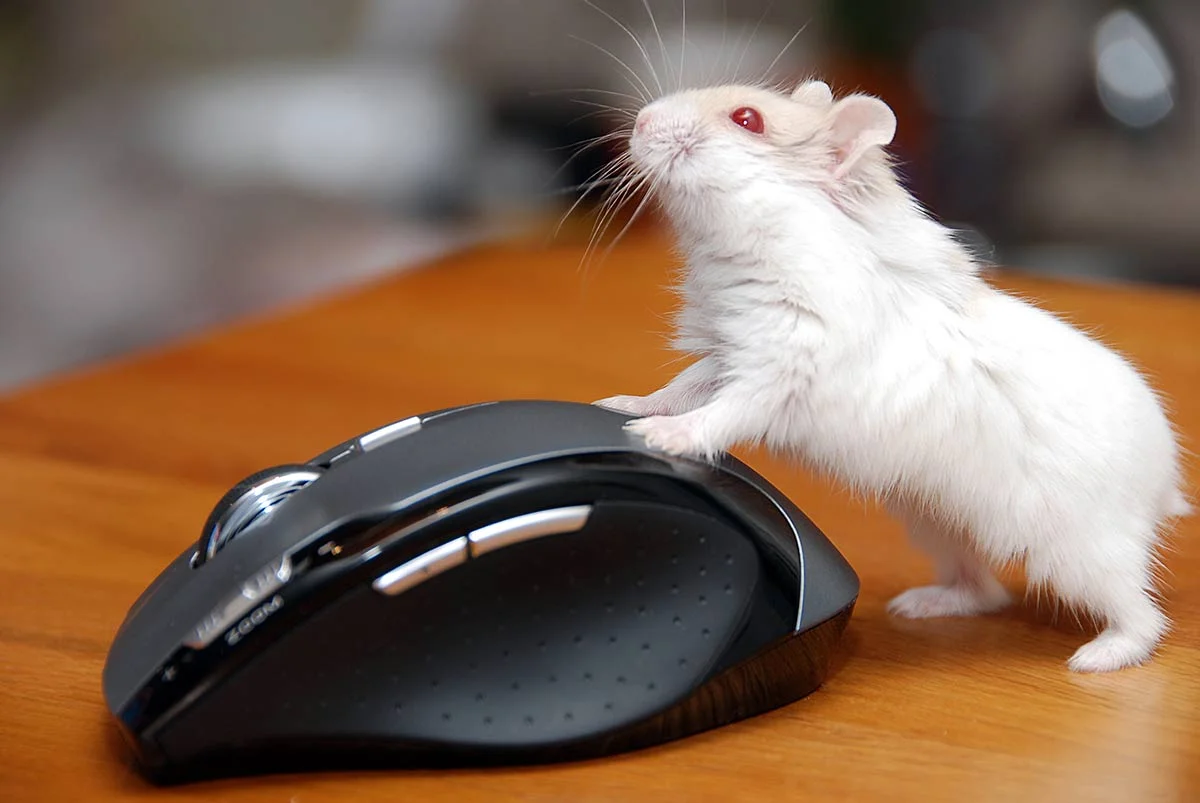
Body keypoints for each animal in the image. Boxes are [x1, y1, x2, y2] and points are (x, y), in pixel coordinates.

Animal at [594, 78, 1191, 673]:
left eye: (747, 119)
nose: (640, 122)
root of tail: (1163, 482)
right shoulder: (724, 356)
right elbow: (680, 389)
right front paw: (616, 407)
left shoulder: (782, 369)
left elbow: (721, 414)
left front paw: (657, 438)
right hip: (937, 524)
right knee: (984, 590)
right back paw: (916, 606)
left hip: (1078, 551)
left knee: (1143, 616)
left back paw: (1093, 659)